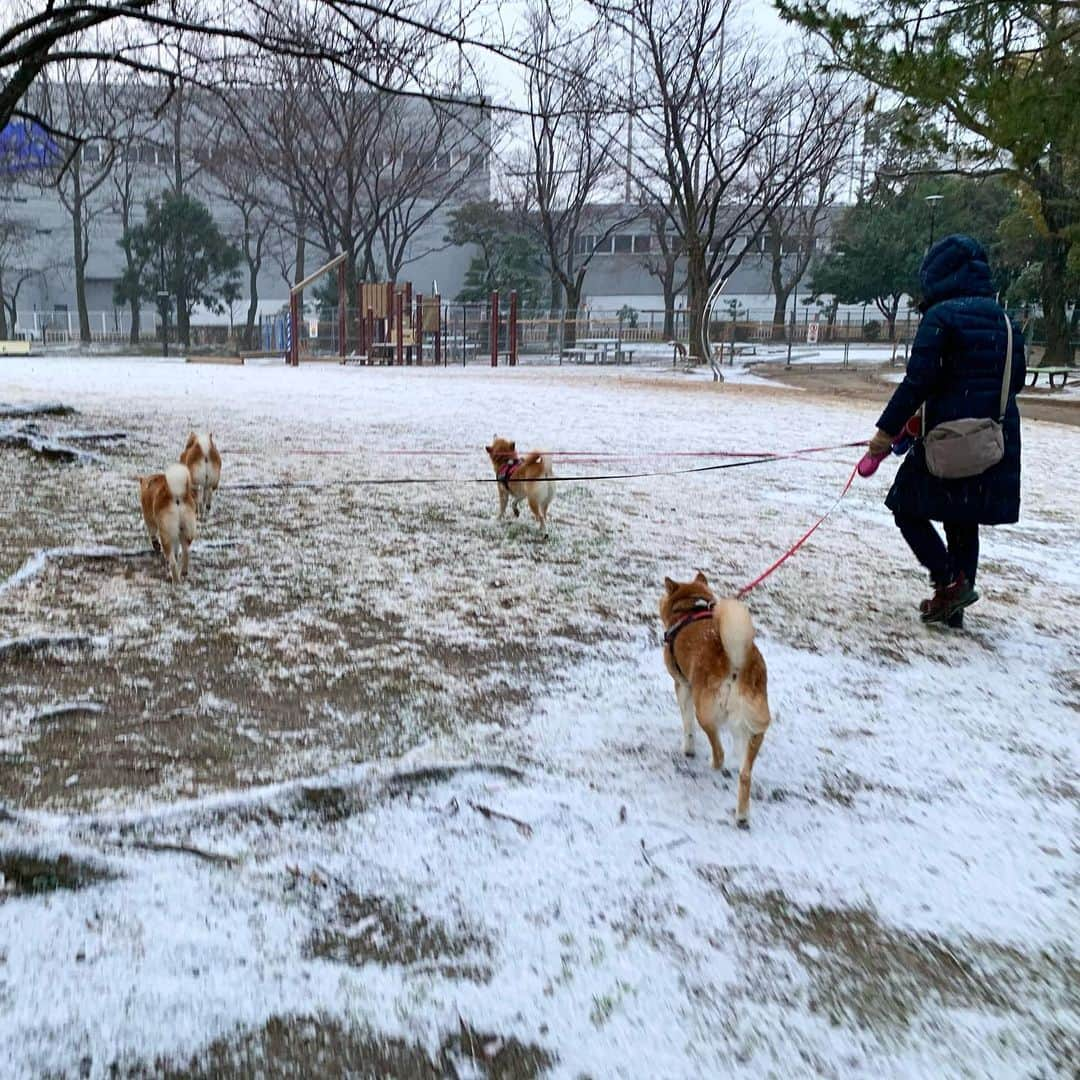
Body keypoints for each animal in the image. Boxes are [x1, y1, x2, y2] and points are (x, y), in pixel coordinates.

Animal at [652, 574, 773, 825]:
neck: (690, 608)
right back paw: (742, 816)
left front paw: (688, 749)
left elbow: (687, 725)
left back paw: (713, 764)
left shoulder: (682, 685)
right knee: (745, 775)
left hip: (705, 713)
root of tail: (737, 664)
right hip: (757, 727)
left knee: (719, 752)